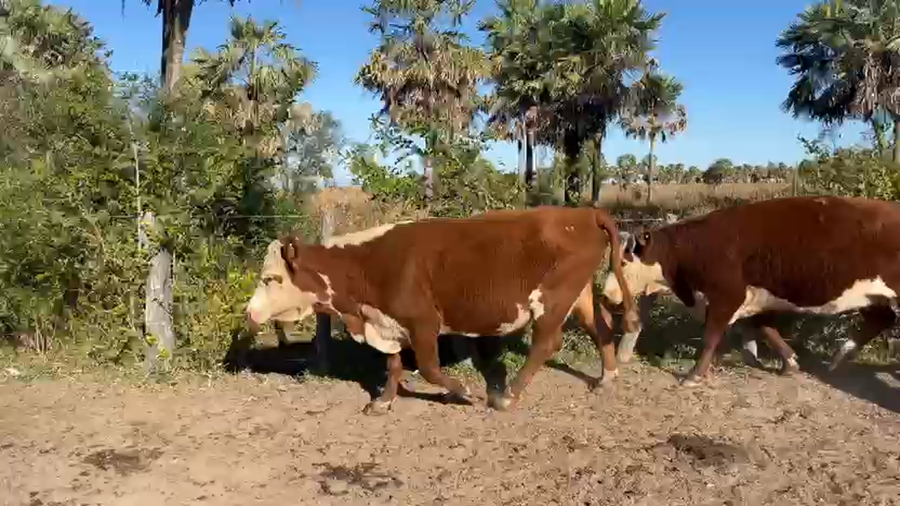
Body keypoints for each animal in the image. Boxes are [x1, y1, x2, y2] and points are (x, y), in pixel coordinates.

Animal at [246, 205, 640, 414]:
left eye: (271, 279)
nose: (250, 312)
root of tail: (583, 211)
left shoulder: (422, 321)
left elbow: (429, 368)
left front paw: (462, 391)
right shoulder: (390, 323)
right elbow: (393, 366)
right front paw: (383, 402)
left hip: (553, 297)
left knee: (546, 343)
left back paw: (506, 395)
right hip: (579, 293)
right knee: (601, 328)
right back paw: (606, 378)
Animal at [601, 195, 900, 386]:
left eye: (623, 263)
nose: (605, 294)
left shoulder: (726, 297)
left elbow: (711, 336)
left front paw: (694, 375)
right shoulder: (753, 298)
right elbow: (767, 329)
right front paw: (790, 363)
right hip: (876, 298)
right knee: (881, 319)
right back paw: (841, 357)